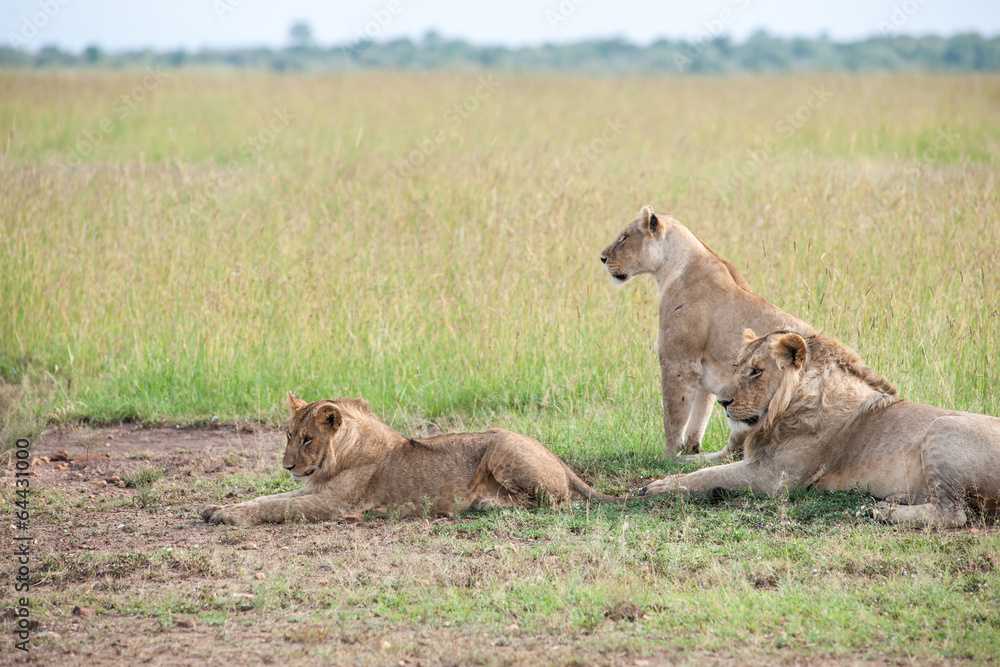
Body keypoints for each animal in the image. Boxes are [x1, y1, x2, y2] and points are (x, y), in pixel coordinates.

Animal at [201, 393, 622, 525]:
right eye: (288, 436)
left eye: (308, 440)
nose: (287, 466)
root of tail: (557, 457)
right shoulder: (313, 490)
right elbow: (266, 498)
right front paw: (215, 508)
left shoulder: (335, 503)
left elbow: (275, 508)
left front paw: (228, 516)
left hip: (503, 445)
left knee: (554, 502)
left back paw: (485, 504)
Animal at [601, 205, 813, 459]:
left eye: (624, 237)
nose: (602, 258)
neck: (670, 268)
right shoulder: (703, 372)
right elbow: (699, 415)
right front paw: (690, 447)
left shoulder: (679, 363)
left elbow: (673, 416)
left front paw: (669, 456)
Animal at [641, 329, 1000, 527]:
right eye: (737, 366)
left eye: (756, 371)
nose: (722, 402)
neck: (784, 410)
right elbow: (702, 467)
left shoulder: (774, 478)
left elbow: (705, 476)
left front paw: (656, 487)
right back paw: (891, 500)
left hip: (943, 427)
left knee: (953, 513)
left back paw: (881, 512)